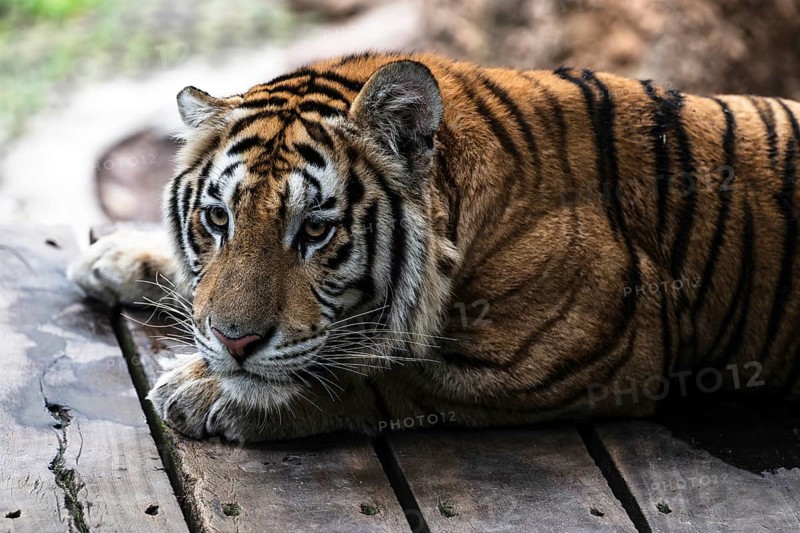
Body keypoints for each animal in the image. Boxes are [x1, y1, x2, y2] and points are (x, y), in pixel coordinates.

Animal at [69, 51, 800, 442]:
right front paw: (114, 257)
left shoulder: (580, 354)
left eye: (315, 230)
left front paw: (207, 393)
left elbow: (377, 375)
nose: (234, 342)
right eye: (217, 219)